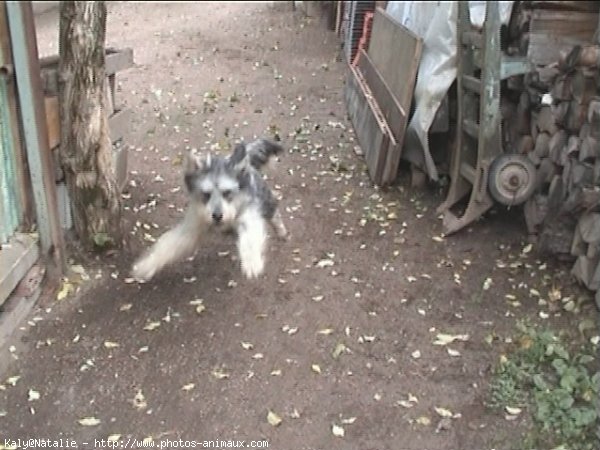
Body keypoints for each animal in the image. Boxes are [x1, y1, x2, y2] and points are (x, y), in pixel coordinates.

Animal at [132, 140, 288, 282]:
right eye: (206, 194)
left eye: (227, 193)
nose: (217, 216)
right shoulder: (193, 225)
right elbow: (169, 243)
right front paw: (147, 265)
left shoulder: (249, 215)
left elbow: (250, 237)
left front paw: (251, 263)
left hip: (266, 200)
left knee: (275, 212)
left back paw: (281, 231)